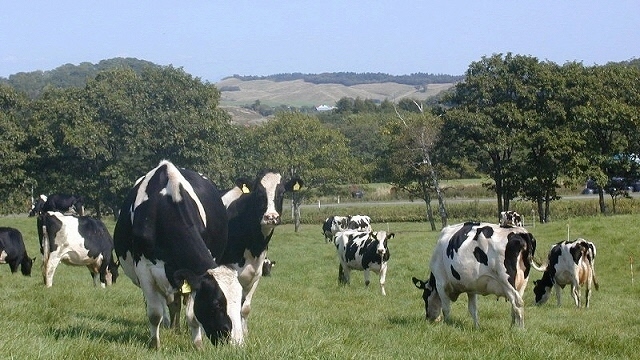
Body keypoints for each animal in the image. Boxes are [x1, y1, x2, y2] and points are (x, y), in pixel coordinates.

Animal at [112, 160, 242, 348]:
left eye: (240, 302)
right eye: (216, 304)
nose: (237, 343)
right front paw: (155, 344)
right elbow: (155, 313)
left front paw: (198, 344)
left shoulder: (191, 275)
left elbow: (192, 315)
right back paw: (171, 327)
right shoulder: (144, 269)